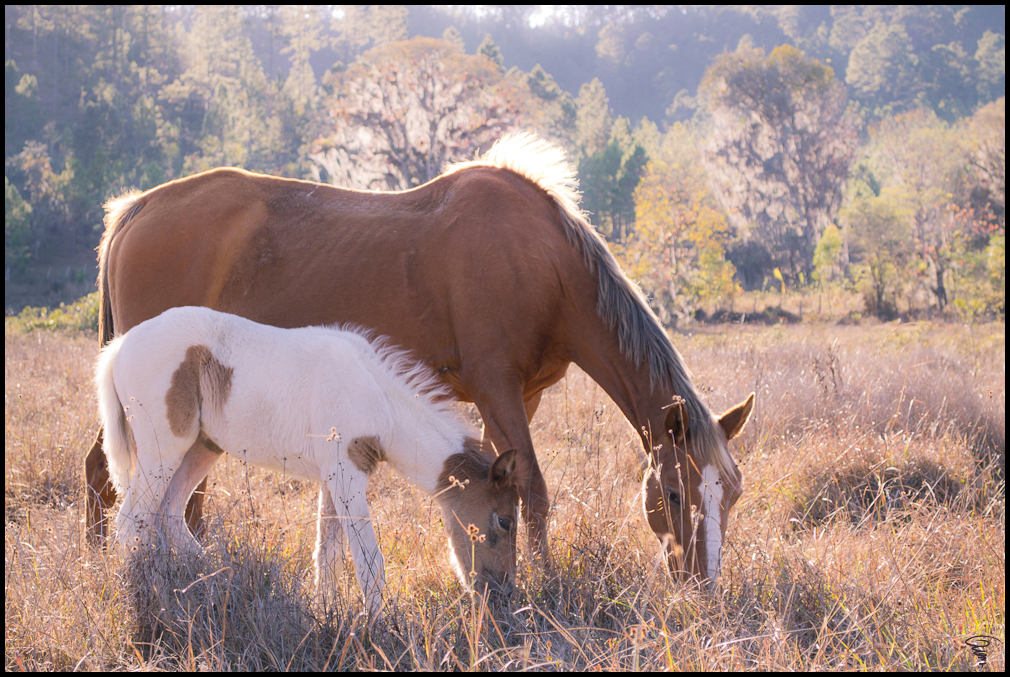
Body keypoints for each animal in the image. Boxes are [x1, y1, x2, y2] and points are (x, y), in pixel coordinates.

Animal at [84, 132, 751, 582]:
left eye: (733, 494)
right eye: (673, 494)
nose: (702, 584)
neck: (545, 265)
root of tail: (135, 210)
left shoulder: (521, 397)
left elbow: (501, 481)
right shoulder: (497, 388)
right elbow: (534, 490)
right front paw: (544, 583)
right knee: (125, 481)